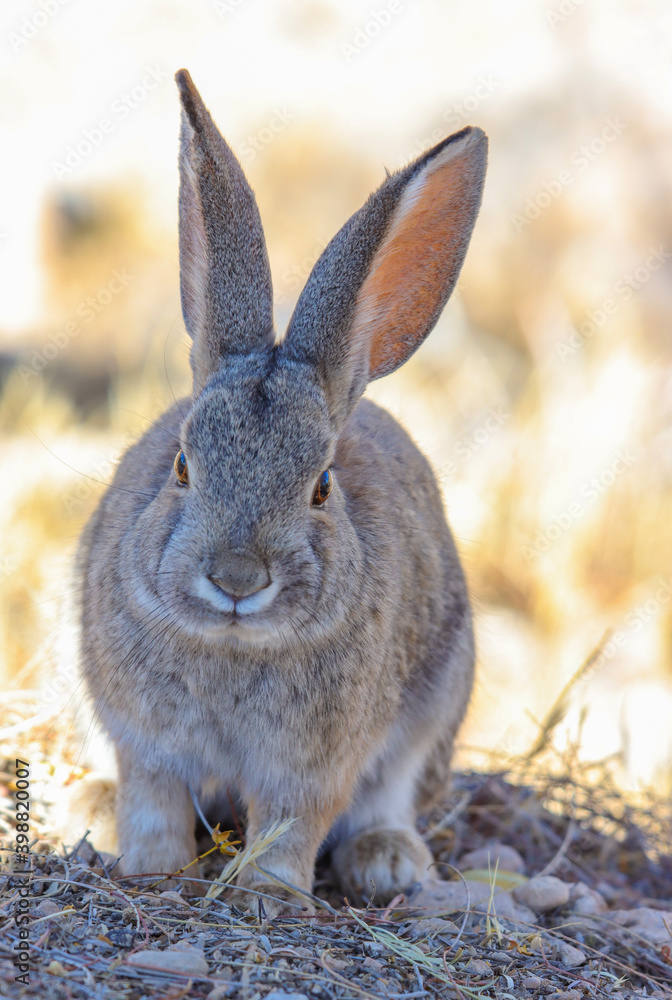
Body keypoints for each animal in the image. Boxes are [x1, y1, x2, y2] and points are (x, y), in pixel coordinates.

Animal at [77, 68, 487, 916]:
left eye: (321, 488)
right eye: (182, 467)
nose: (238, 579)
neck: (234, 646)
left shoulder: (312, 765)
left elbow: (292, 823)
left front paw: (266, 895)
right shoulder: (145, 741)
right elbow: (153, 803)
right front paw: (153, 871)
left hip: (440, 694)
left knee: (392, 797)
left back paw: (387, 861)